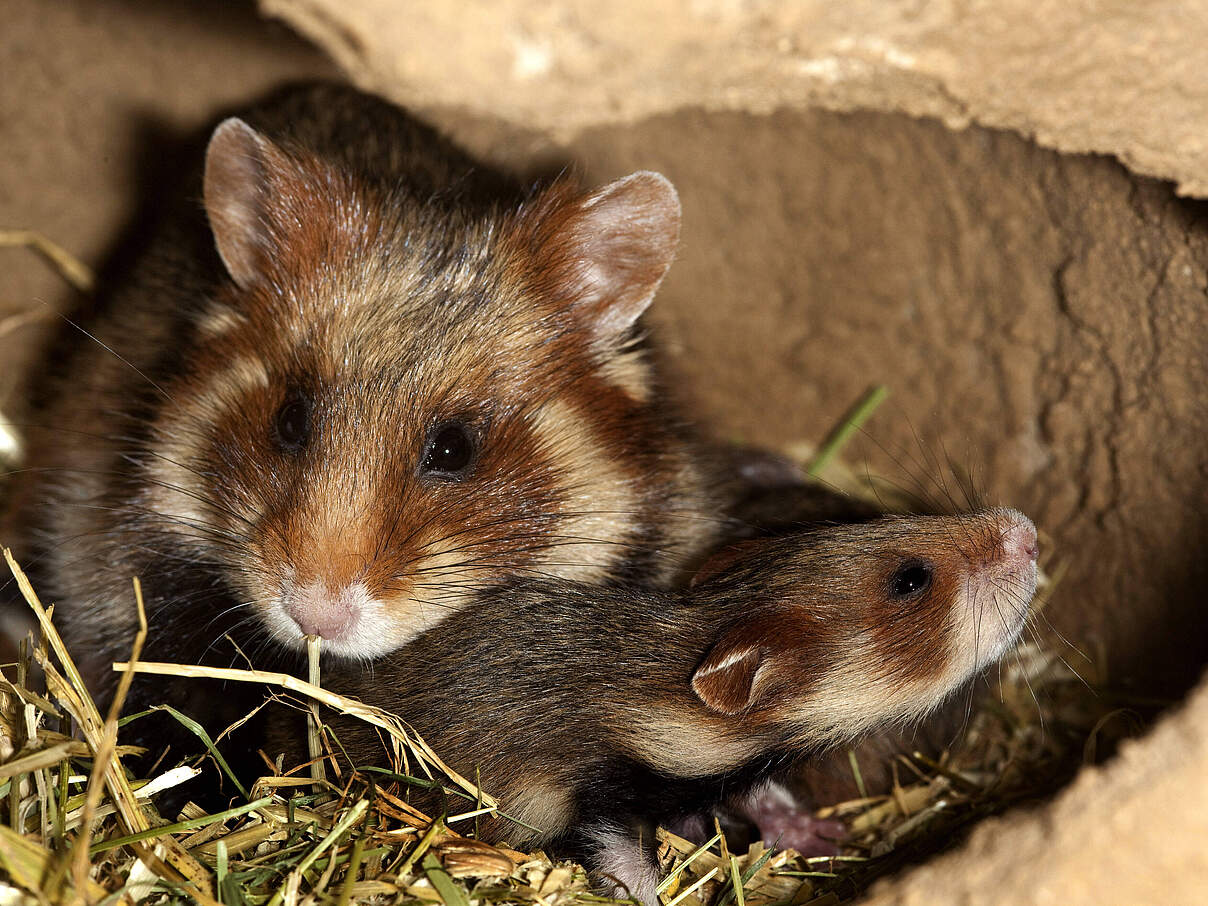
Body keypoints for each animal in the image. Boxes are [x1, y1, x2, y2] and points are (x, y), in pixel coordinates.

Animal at [268, 507, 1039, 903]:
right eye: (909, 580)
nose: (1027, 529)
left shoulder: (729, 769)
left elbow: (763, 796)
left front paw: (821, 834)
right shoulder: (587, 786)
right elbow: (621, 855)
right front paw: (653, 894)